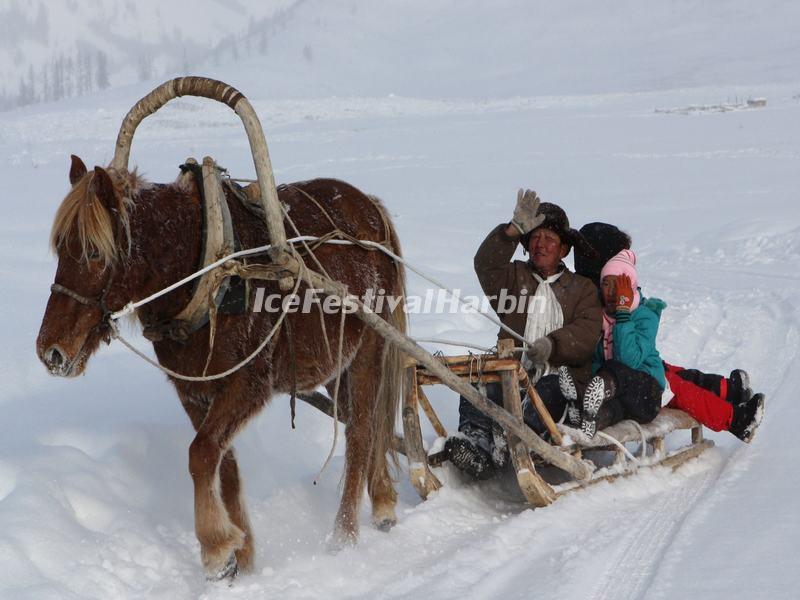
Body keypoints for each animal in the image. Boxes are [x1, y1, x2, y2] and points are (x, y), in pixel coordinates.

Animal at [35, 157, 406, 580]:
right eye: (60, 249)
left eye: (95, 252)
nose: (50, 351)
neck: (201, 268)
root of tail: (369, 205)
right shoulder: (194, 390)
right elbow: (222, 464)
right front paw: (241, 557)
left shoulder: (248, 385)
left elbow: (200, 453)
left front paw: (215, 548)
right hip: (335, 365)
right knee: (367, 422)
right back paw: (383, 499)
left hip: (371, 347)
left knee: (361, 430)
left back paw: (344, 536)